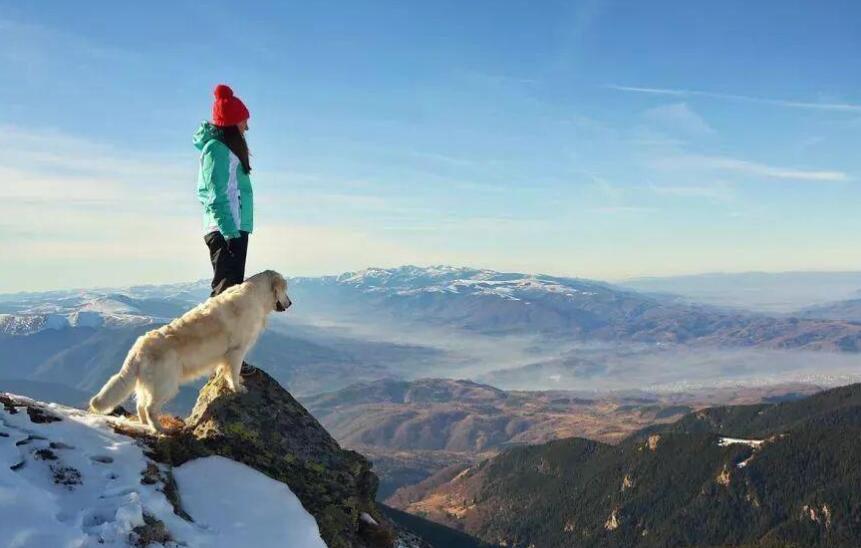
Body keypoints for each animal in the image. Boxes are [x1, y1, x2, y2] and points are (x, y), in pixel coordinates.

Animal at [89, 270, 292, 432]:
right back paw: (160, 429)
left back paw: (145, 425)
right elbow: (233, 372)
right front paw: (237, 387)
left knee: (140, 406)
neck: (256, 296)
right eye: (285, 290)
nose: (290, 303)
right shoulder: (237, 350)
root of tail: (139, 348)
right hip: (166, 384)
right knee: (149, 408)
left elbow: (227, 370)